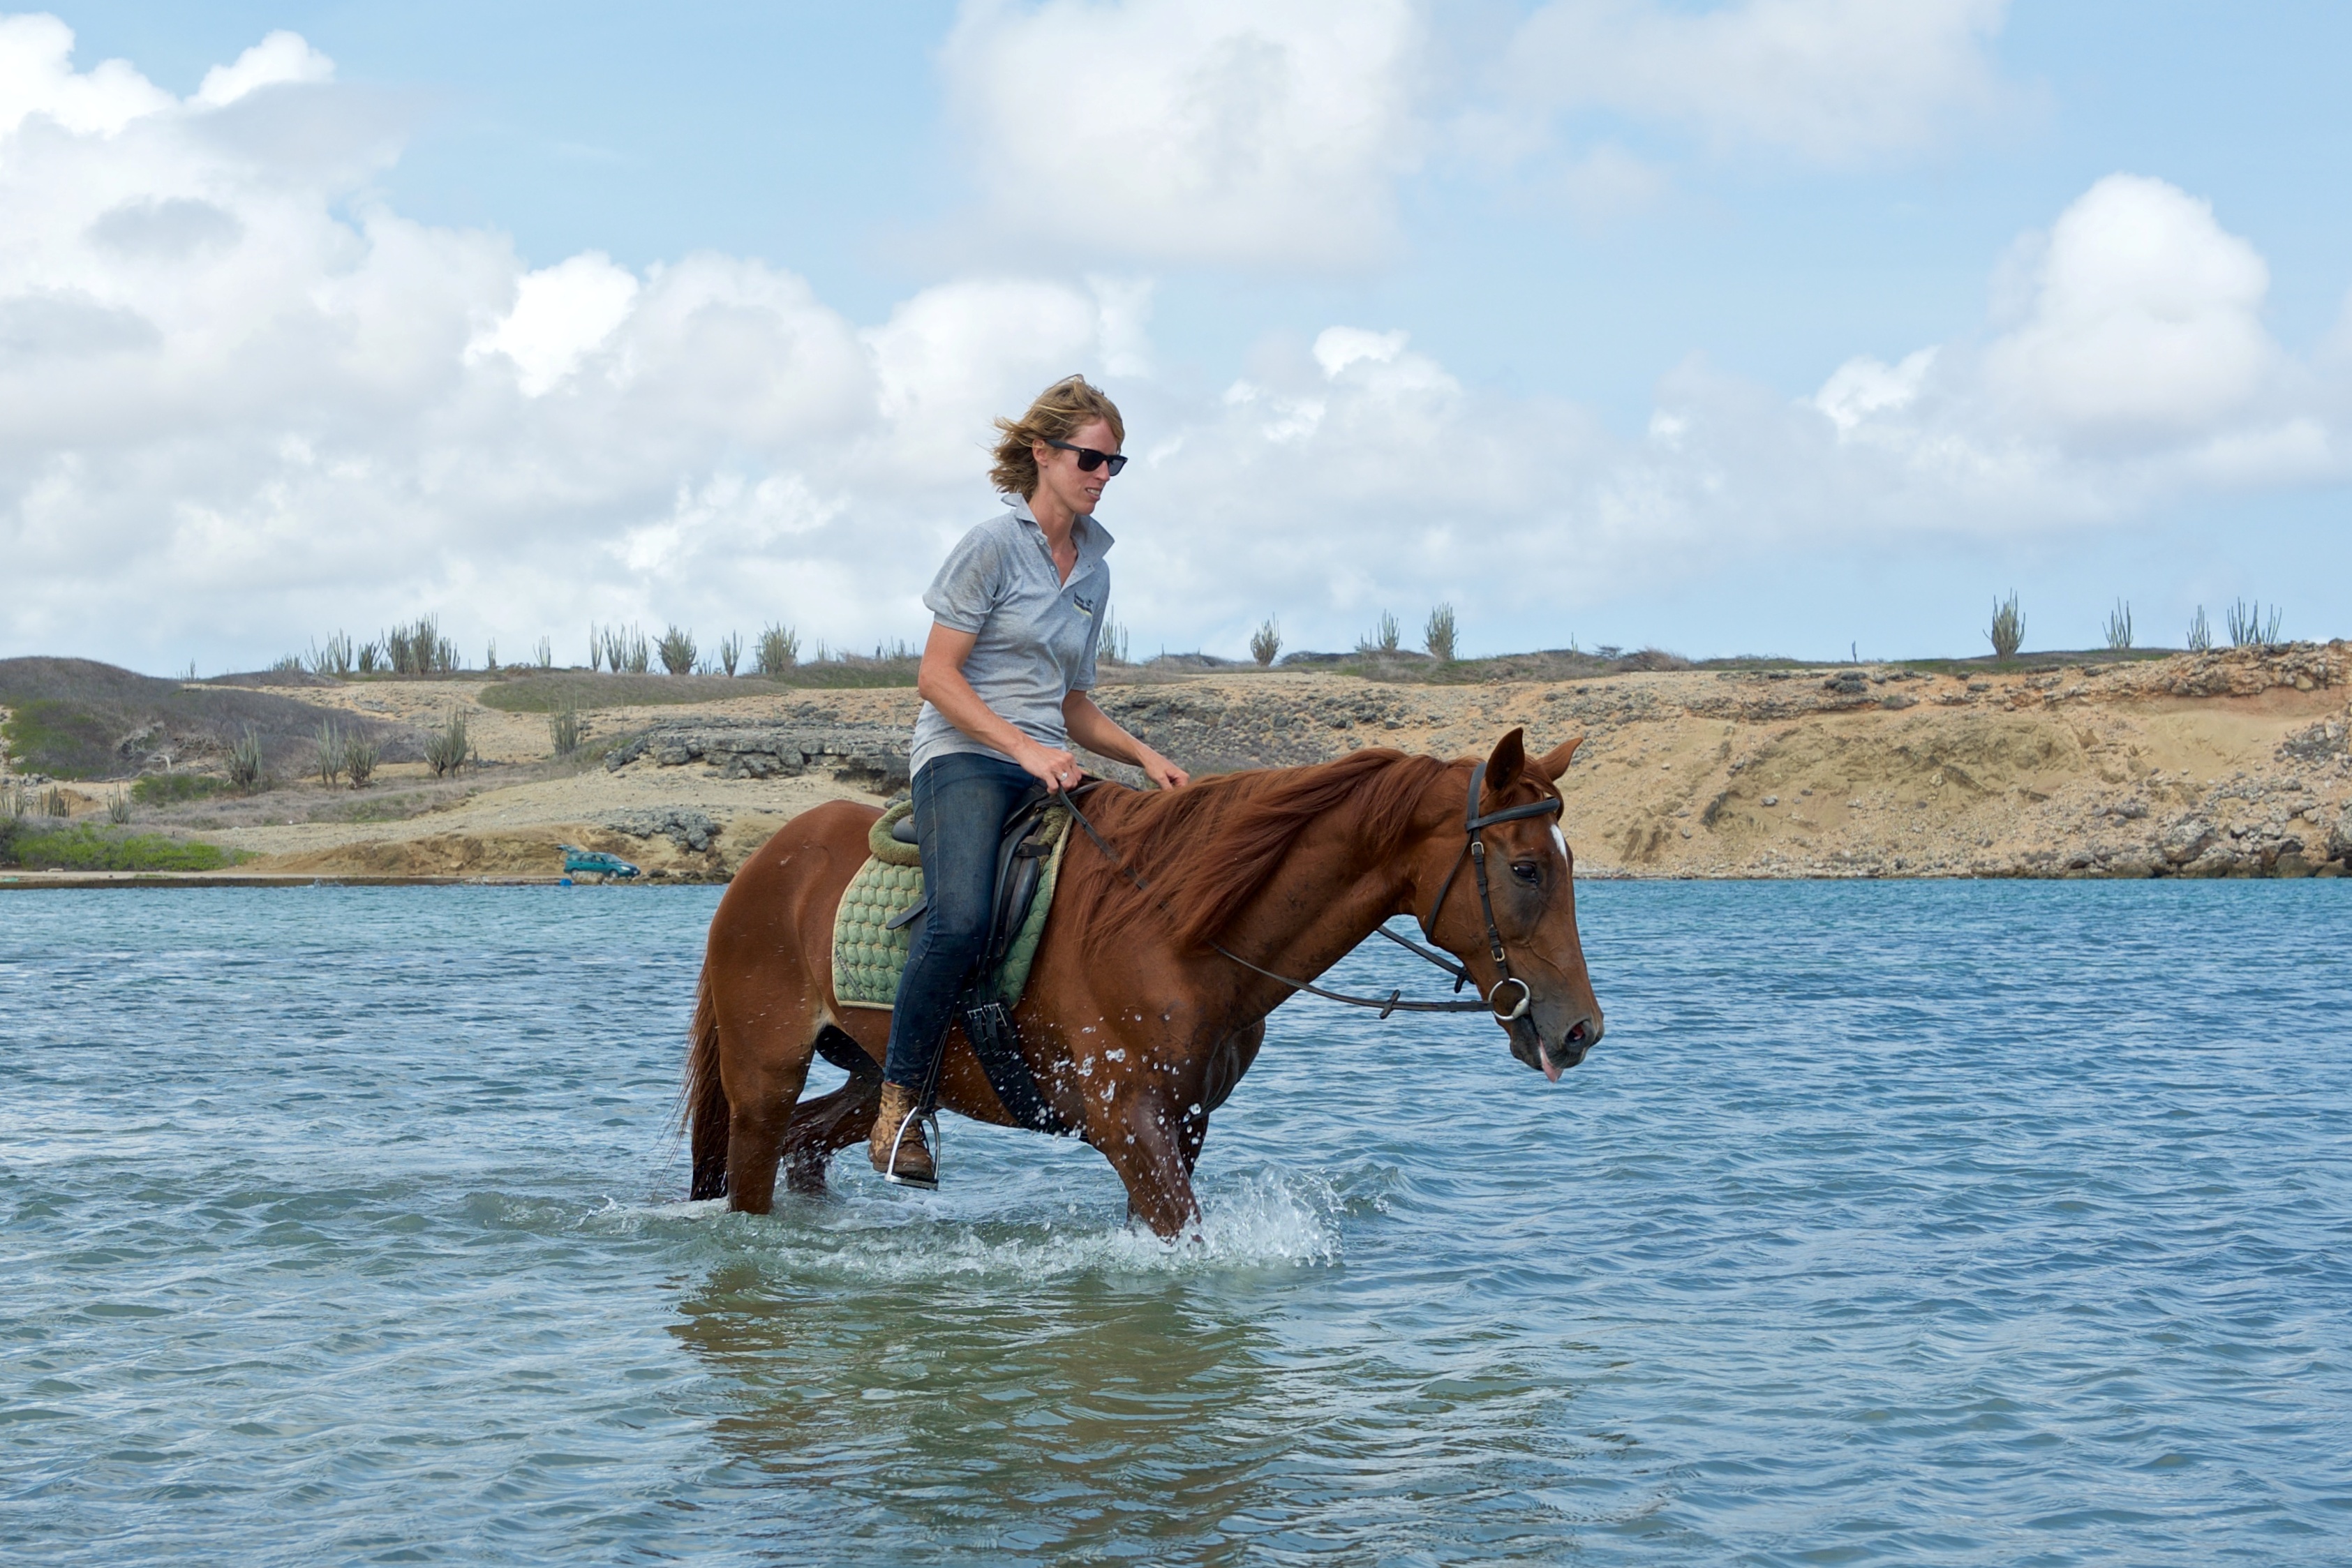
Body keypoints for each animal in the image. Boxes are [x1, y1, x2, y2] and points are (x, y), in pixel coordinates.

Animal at [682, 727, 1604, 1238]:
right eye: (1525, 869)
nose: (1579, 1031)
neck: (1175, 929)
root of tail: (765, 862)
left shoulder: (1183, 1125)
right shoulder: (1131, 1124)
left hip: (878, 1074)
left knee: (813, 1142)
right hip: (764, 1079)